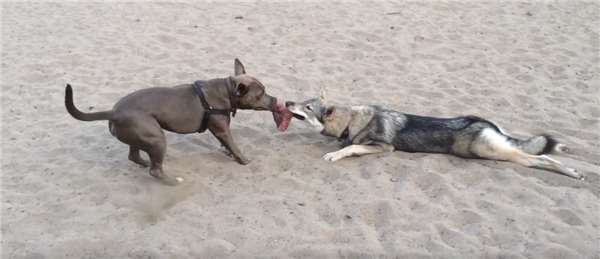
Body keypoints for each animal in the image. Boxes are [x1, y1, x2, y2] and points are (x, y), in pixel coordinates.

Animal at [65, 59, 290, 186]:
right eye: (260, 94)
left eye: (265, 90)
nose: (274, 100)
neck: (227, 90)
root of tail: (114, 112)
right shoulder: (222, 129)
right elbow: (234, 145)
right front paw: (243, 160)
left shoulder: (220, 130)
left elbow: (226, 145)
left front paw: (227, 153)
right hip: (156, 137)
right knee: (155, 170)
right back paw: (172, 181)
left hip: (141, 136)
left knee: (134, 156)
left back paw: (146, 163)